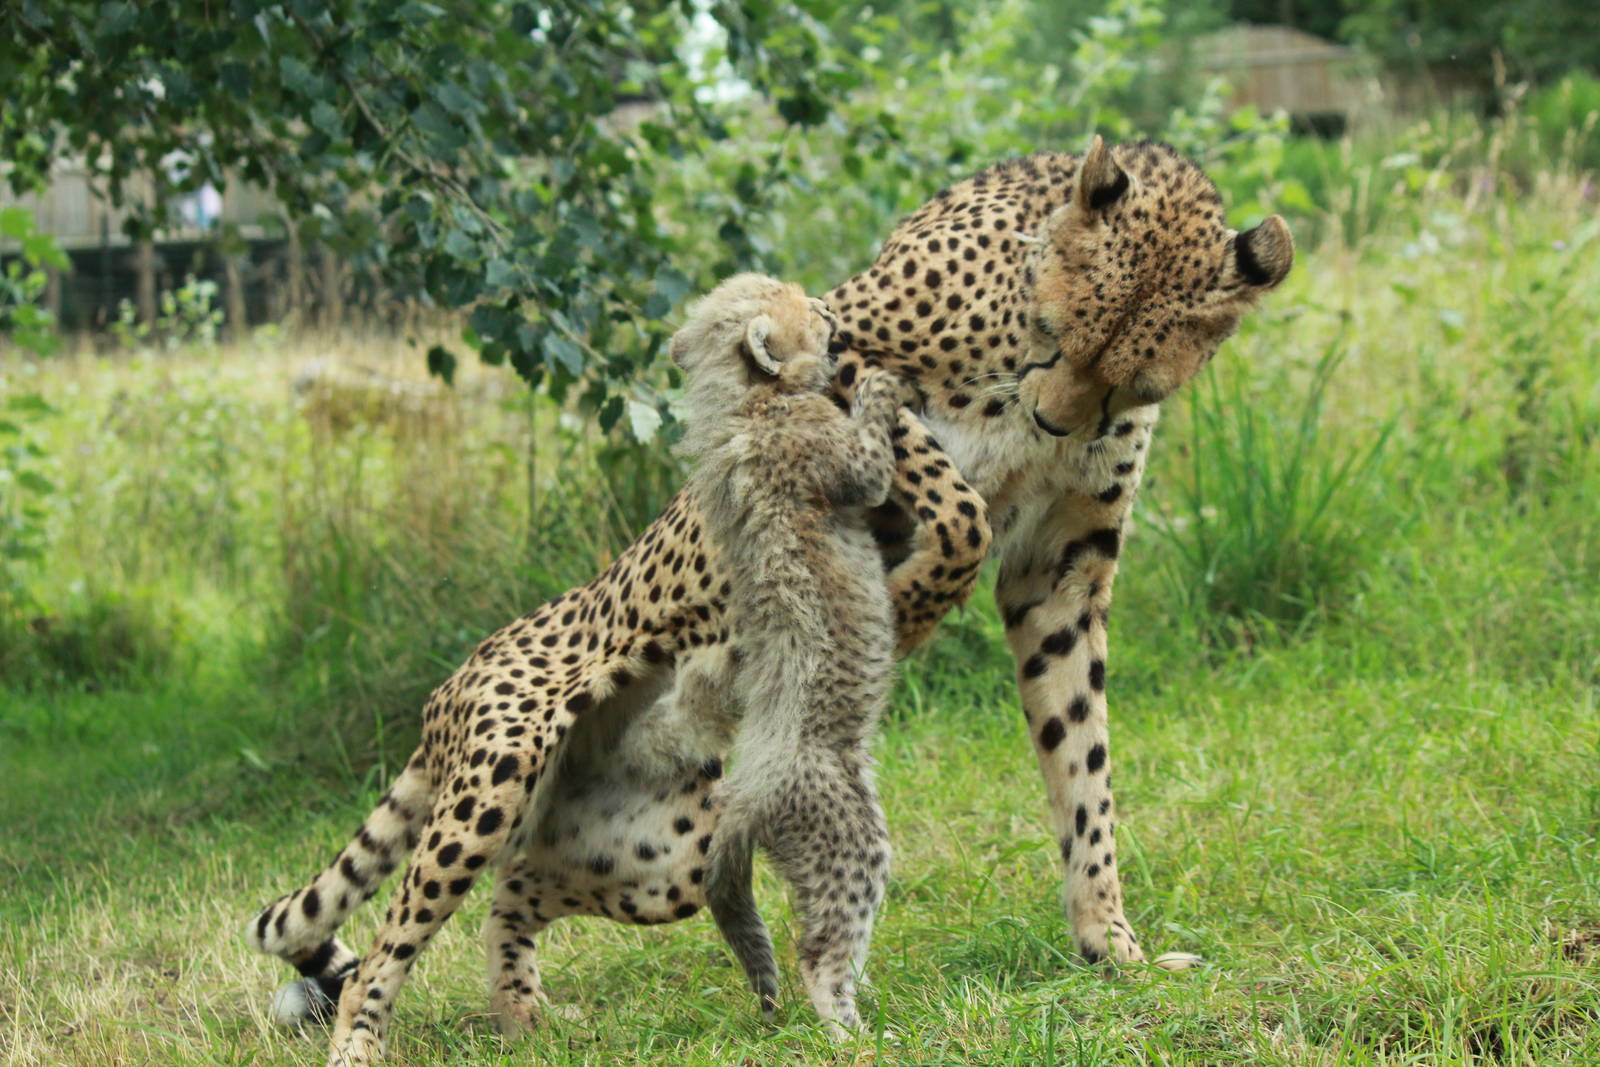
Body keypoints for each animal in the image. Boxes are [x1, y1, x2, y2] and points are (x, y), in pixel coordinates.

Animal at [669, 272, 909, 1037]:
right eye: (800, 304)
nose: (831, 306)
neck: (747, 402)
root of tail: (744, 794)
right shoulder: (840, 464)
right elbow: (870, 460)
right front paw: (879, 388)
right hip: (850, 839)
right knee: (820, 953)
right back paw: (851, 1031)